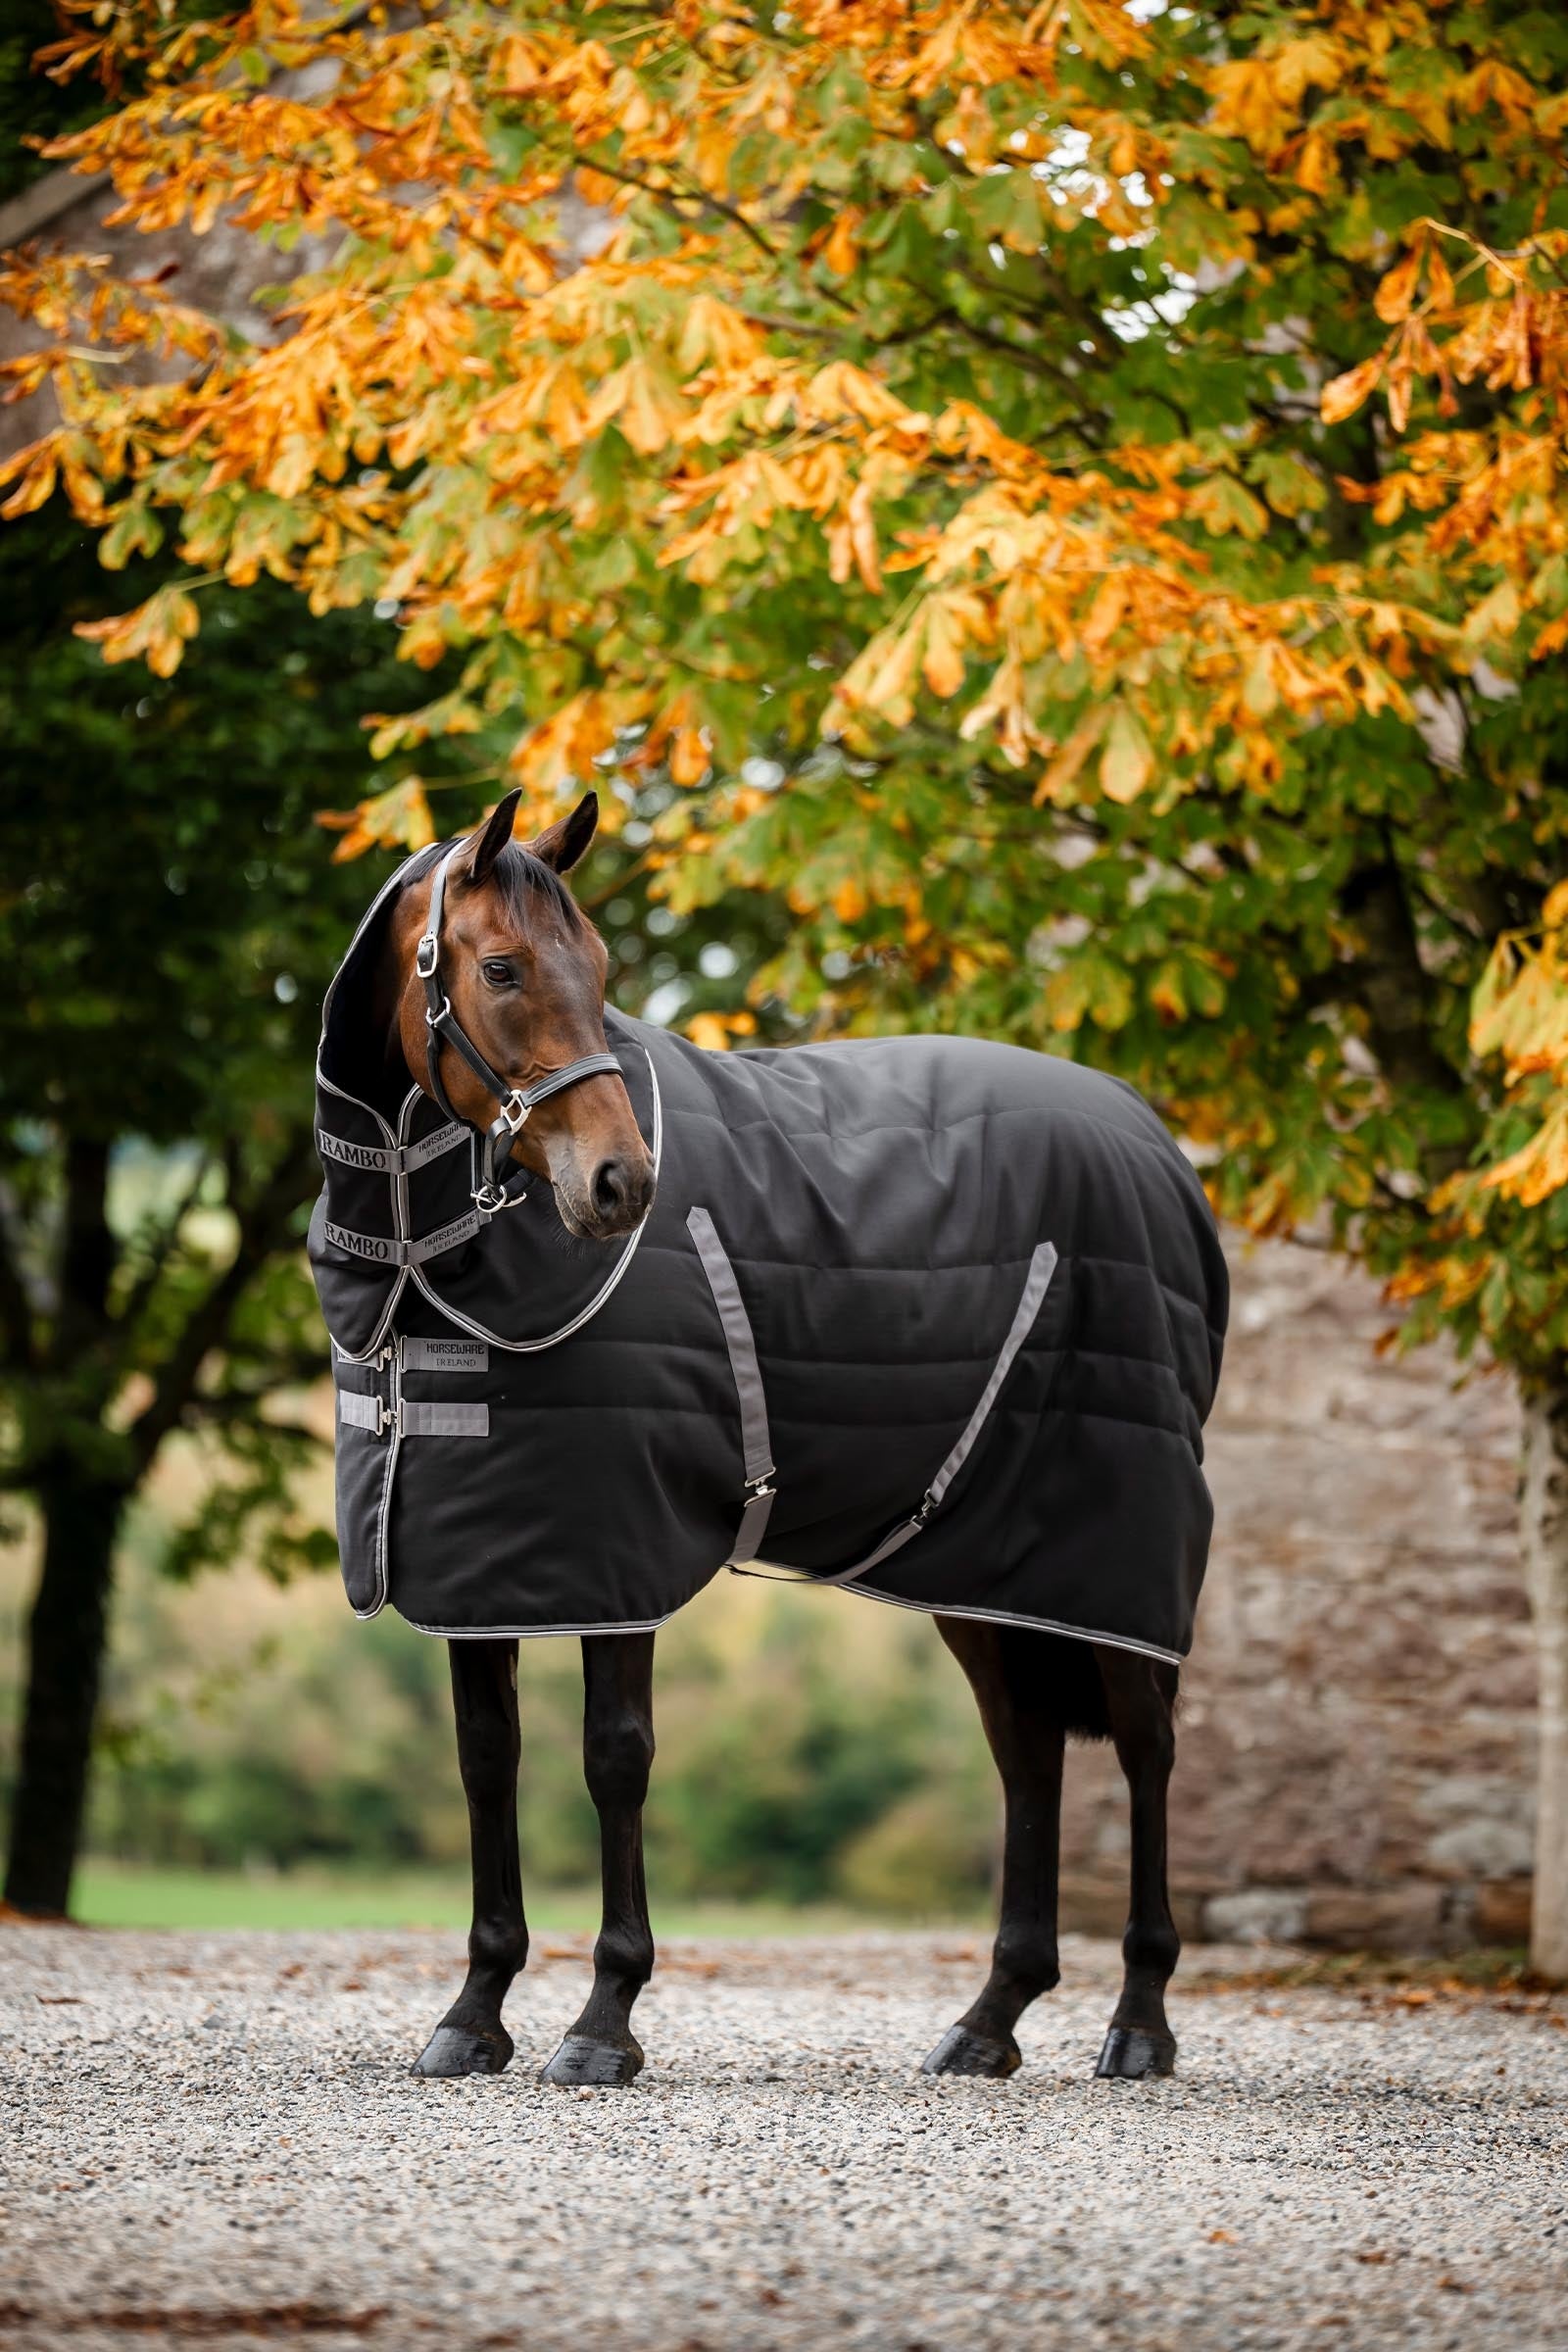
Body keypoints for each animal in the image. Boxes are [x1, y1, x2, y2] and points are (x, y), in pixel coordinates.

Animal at [307, 786, 1227, 2088]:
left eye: (600, 968)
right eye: (500, 967)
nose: (619, 1186)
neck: (421, 1260)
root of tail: (1158, 1151)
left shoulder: (614, 1553)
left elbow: (615, 1756)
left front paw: (604, 2022)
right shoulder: (477, 1566)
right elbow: (488, 1759)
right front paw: (474, 2013)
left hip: (1119, 1551)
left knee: (1144, 1745)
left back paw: (1139, 2020)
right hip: (986, 1566)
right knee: (1026, 1748)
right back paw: (990, 2016)